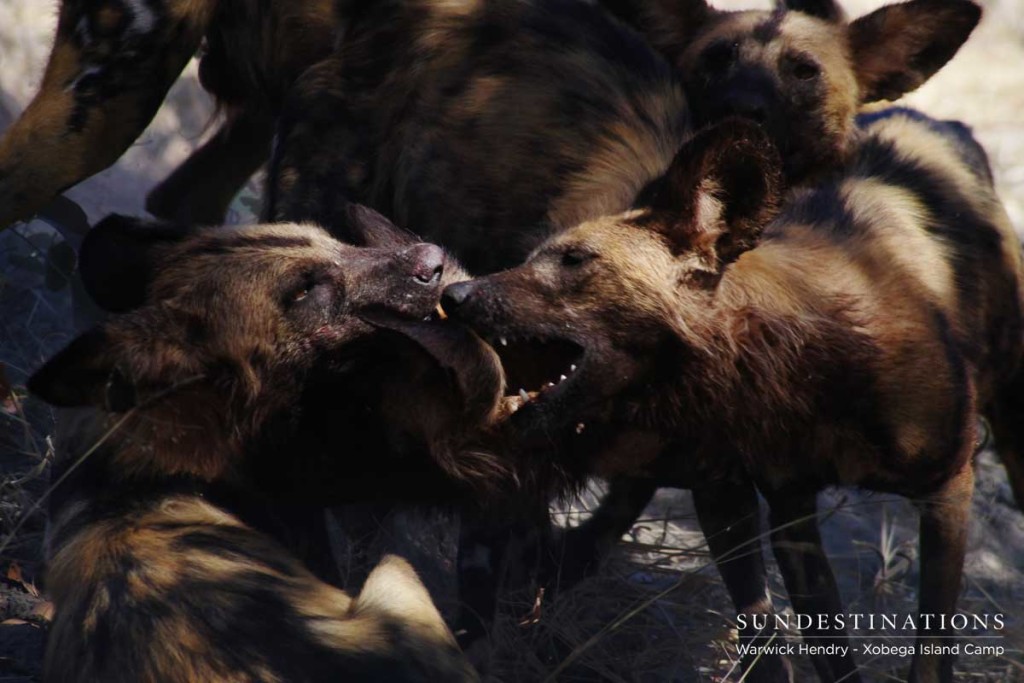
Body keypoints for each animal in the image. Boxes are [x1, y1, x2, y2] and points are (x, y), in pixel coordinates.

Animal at [444, 113, 1024, 683]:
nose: (453, 293)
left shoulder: (946, 488)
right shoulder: (765, 506)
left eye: (574, 260)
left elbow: (930, 653)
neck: (797, 368)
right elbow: (791, 644)